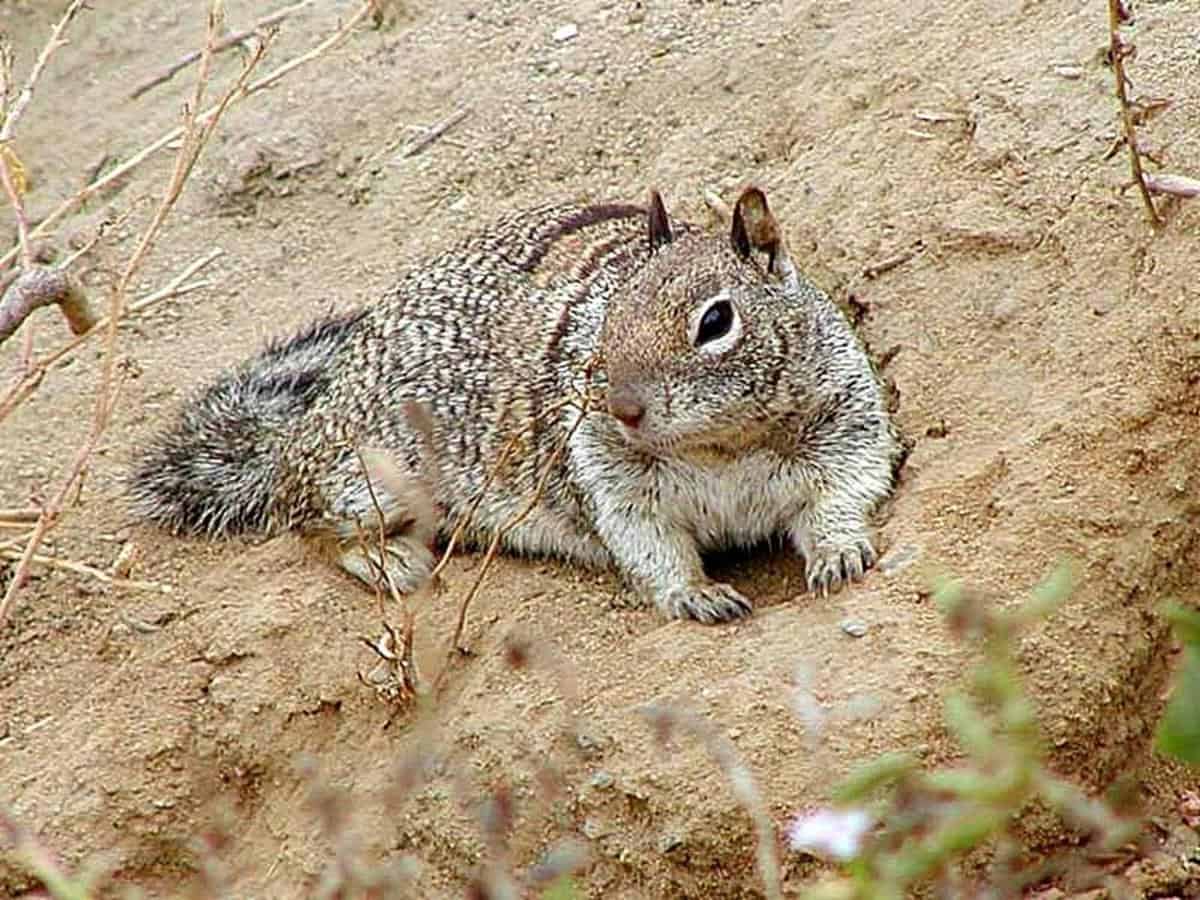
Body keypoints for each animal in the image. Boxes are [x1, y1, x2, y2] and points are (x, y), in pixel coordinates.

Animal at [131, 187, 902, 624]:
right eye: (610, 312)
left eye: (716, 321)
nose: (621, 409)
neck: (720, 448)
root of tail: (308, 420)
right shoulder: (610, 479)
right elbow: (648, 545)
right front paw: (694, 594)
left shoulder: (847, 423)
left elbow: (845, 494)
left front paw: (839, 554)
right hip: (368, 479)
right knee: (309, 522)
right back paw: (392, 562)